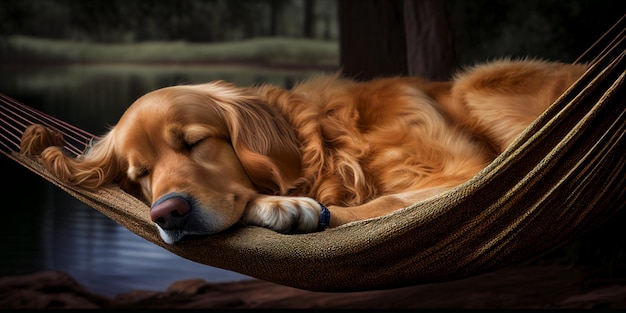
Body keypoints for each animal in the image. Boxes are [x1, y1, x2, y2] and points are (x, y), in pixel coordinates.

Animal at [19, 58, 584, 244]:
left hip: (478, 83)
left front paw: (290, 206)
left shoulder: (461, 171)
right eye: (140, 174)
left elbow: (381, 203)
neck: (330, 144)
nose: (167, 213)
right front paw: (279, 203)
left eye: (194, 142)